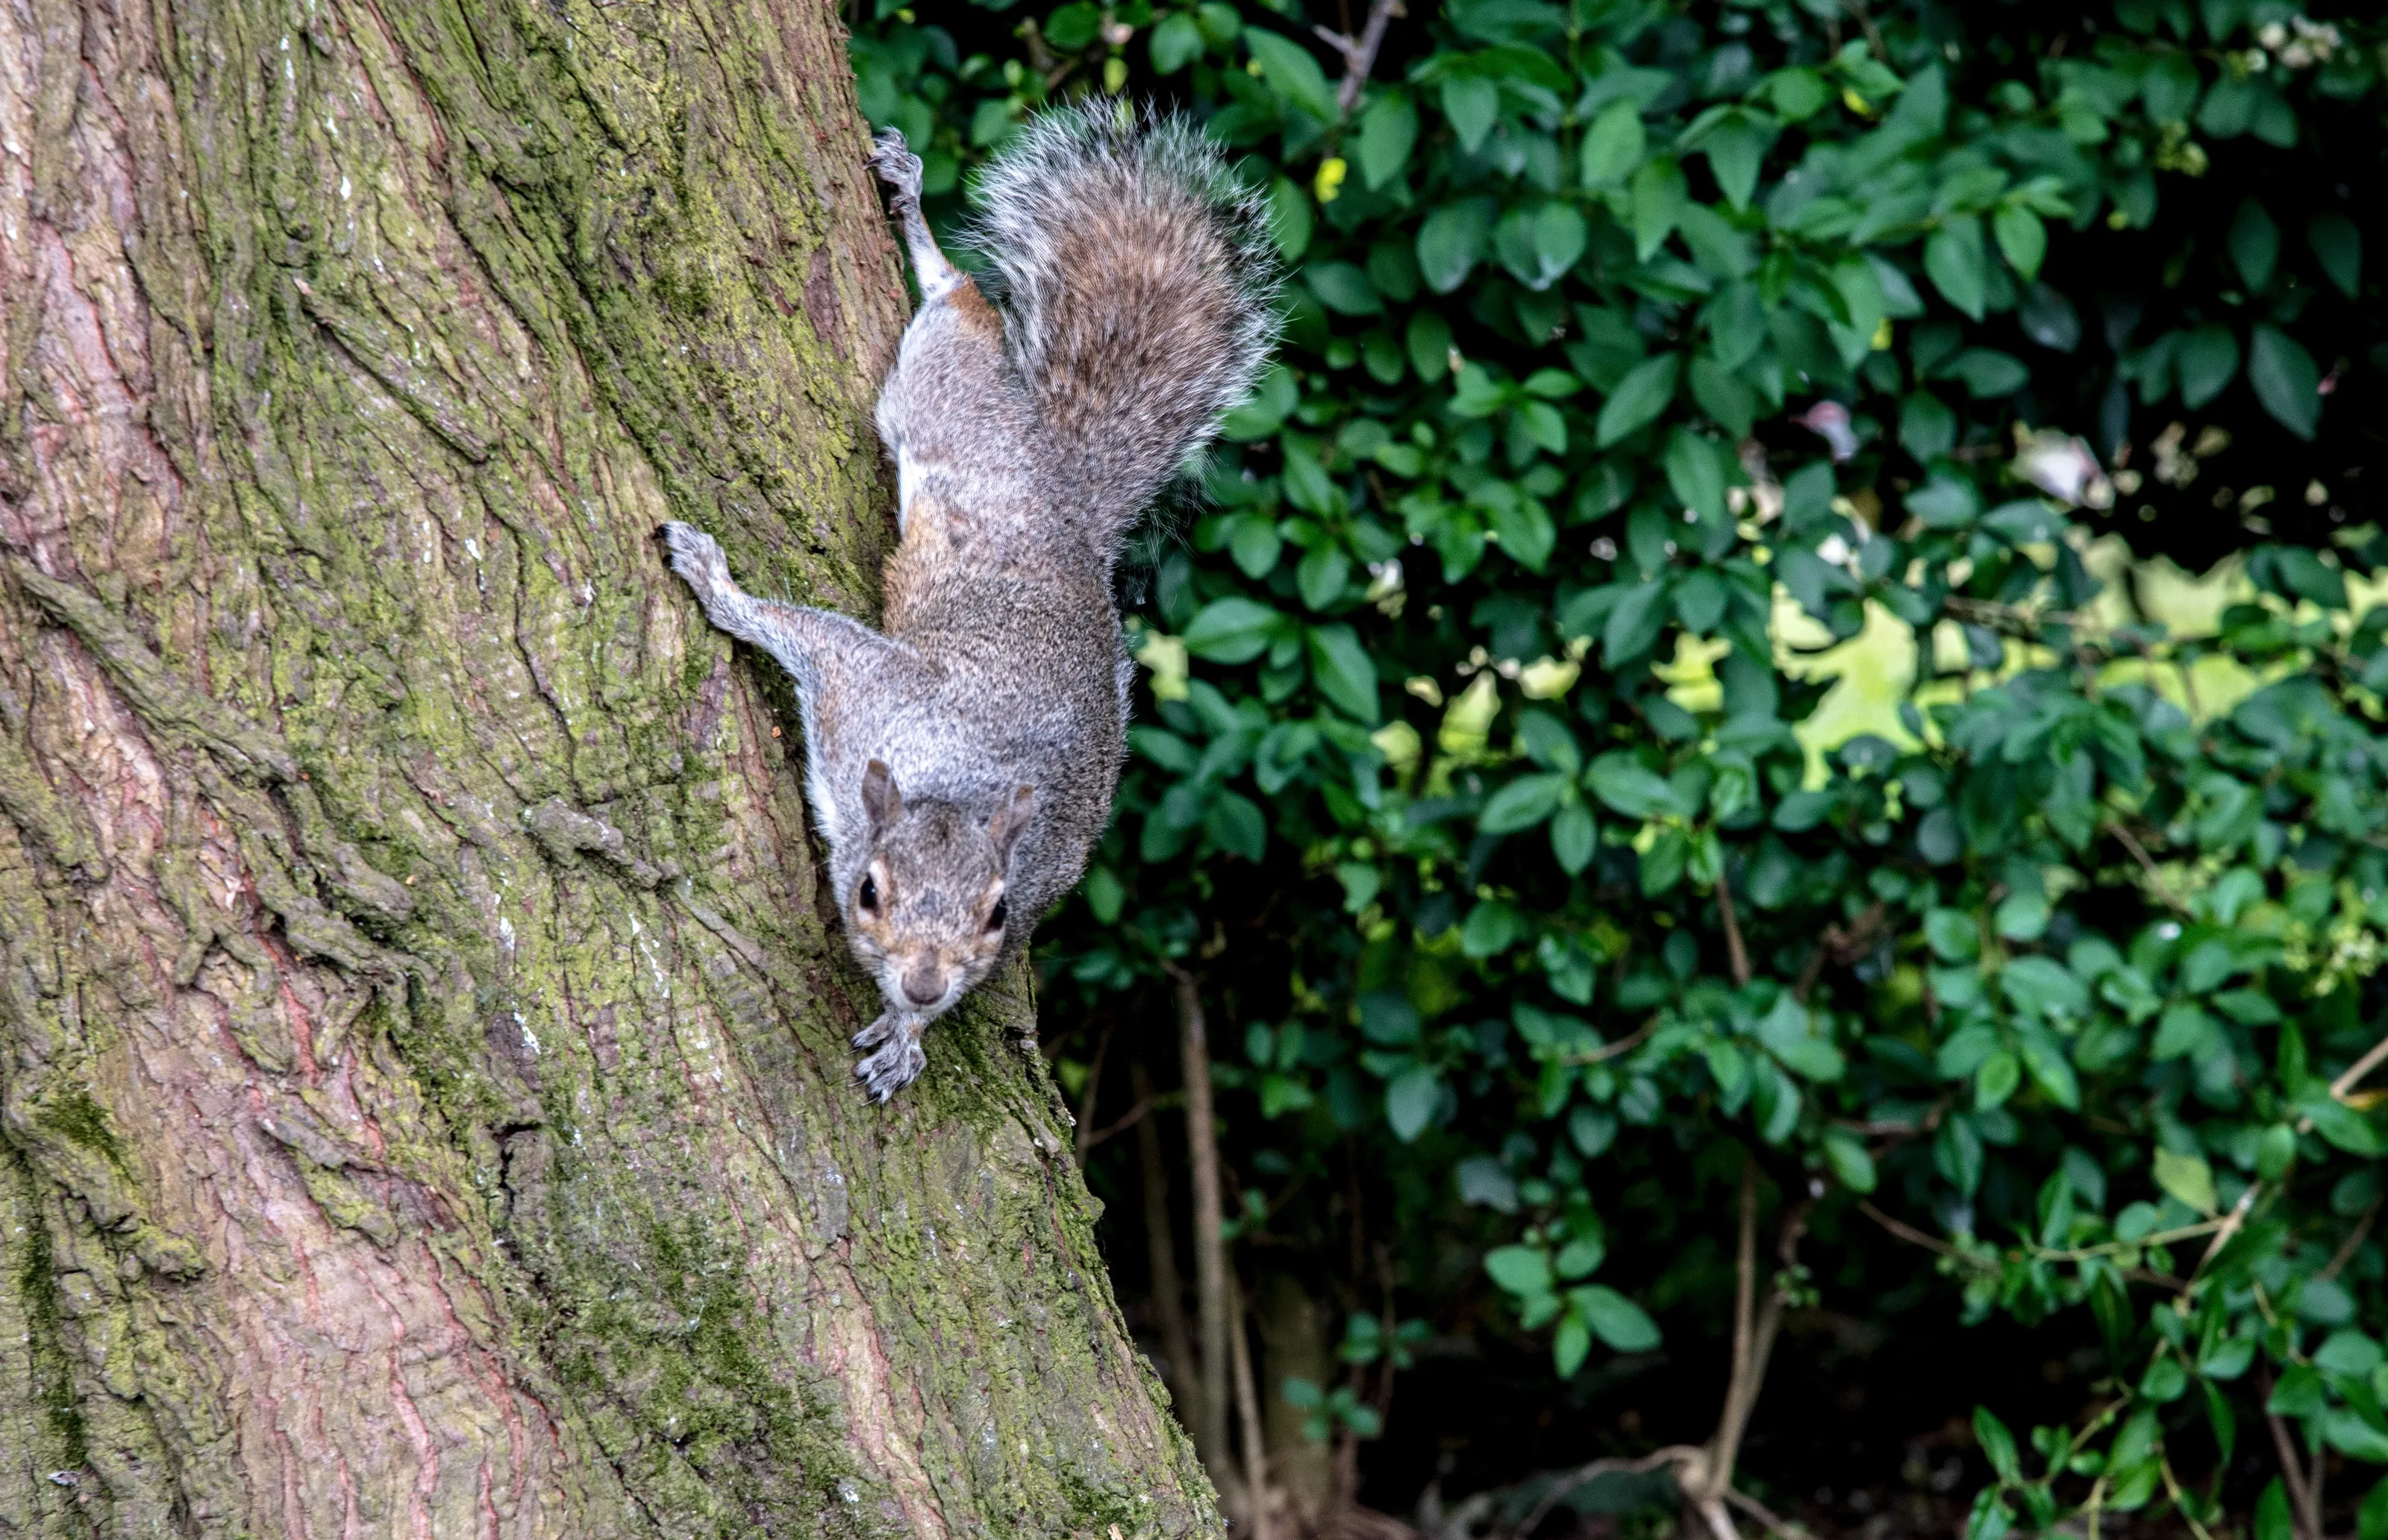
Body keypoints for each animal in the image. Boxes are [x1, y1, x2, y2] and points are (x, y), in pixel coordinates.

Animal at [662, 103, 1278, 1100]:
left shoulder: (1038, 876)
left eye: (995, 917)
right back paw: (919, 223)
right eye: (869, 891)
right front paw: (717, 583)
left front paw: (909, 1035)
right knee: (960, 309)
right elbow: (801, 634)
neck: (957, 783)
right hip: (943, 405)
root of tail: (1062, 493)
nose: (921, 982)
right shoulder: (863, 693)